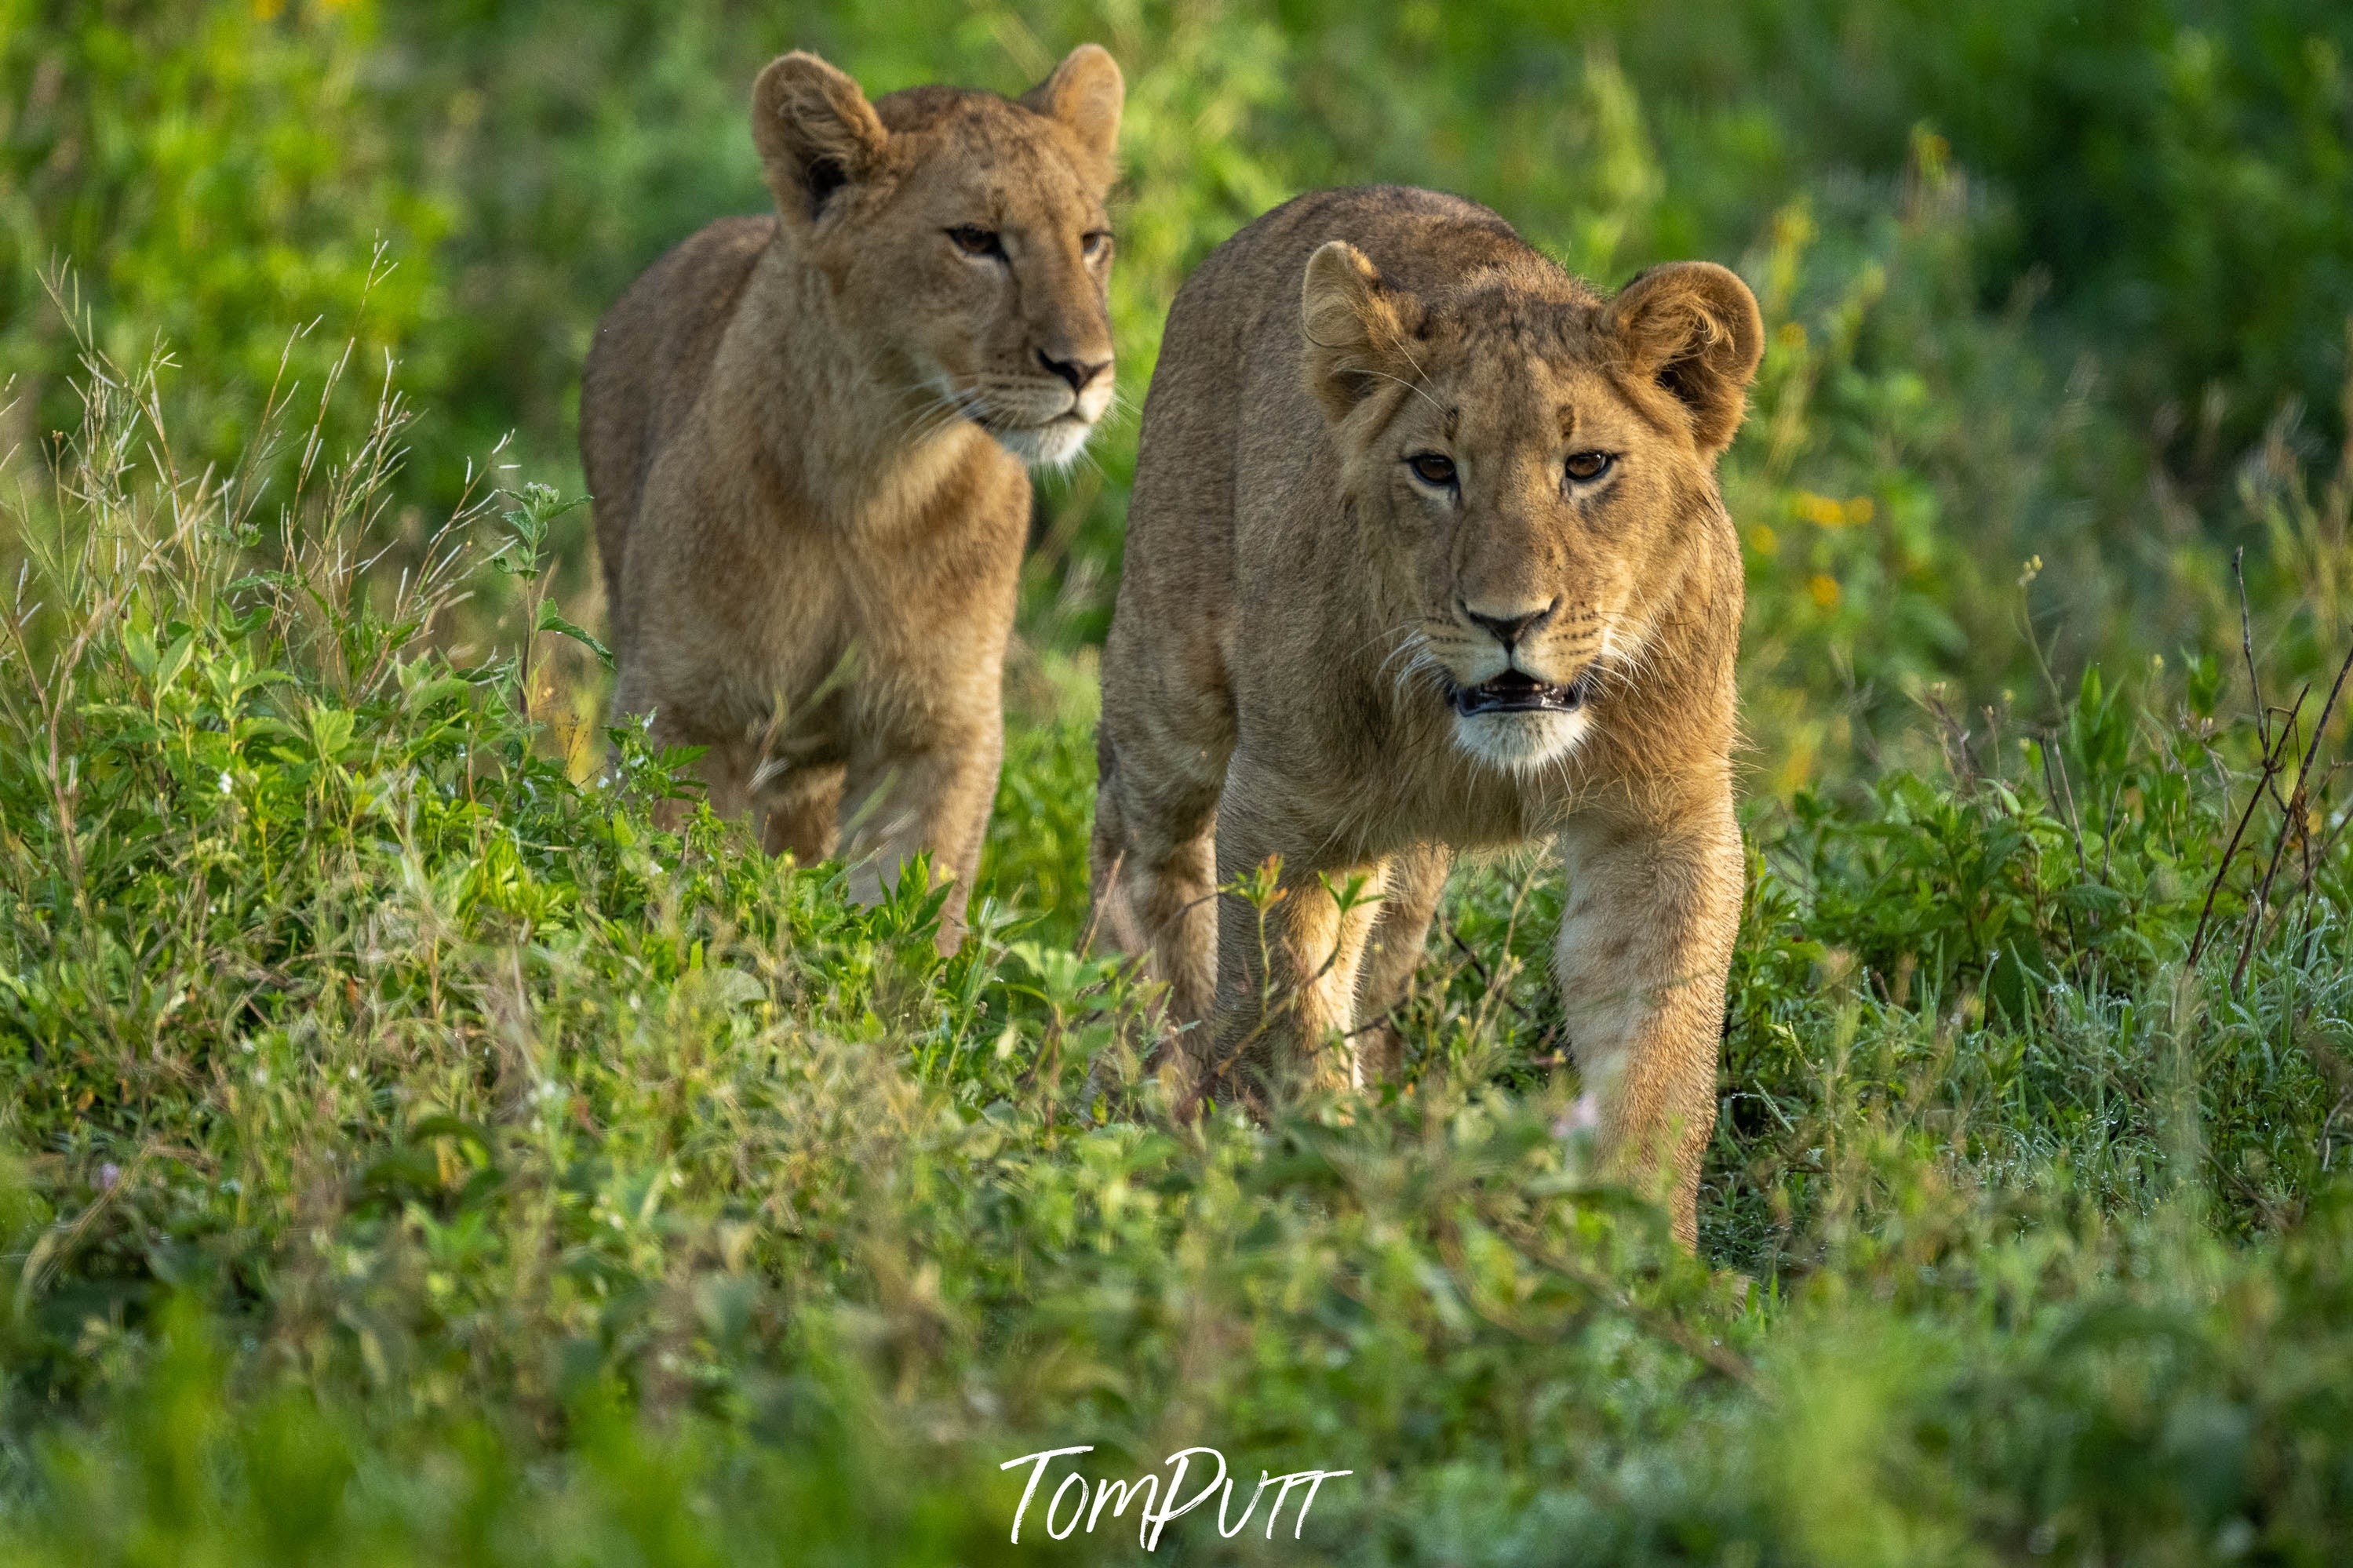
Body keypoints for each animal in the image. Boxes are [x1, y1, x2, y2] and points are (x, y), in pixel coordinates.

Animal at [574, 49, 1115, 949]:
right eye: (975, 240)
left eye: (1091, 242)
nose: (1087, 369)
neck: (877, 473)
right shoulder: (681, 714)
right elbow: (675, 882)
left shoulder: (938, 732)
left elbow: (906, 917)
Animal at [1091, 184, 1760, 1241]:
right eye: (1434, 469)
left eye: (1587, 465)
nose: (1508, 619)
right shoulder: (1287, 811)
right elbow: (1290, 1017)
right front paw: (1328, 1195)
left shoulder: (1660, 819)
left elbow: (1658, 1048)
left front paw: (1639, 1242)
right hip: (1172, 680)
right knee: (1140, 850)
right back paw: (1152, 1056)